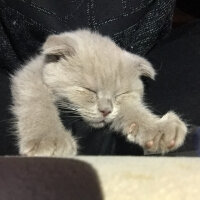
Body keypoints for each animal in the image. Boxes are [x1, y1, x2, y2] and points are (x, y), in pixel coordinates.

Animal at [10, 29, 188, 156]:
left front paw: (157, 128)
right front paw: (48, 139)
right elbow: (38, 103)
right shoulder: (31, 74)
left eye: (119, 95)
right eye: (88, 90)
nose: (105, 110)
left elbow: (132, 110)